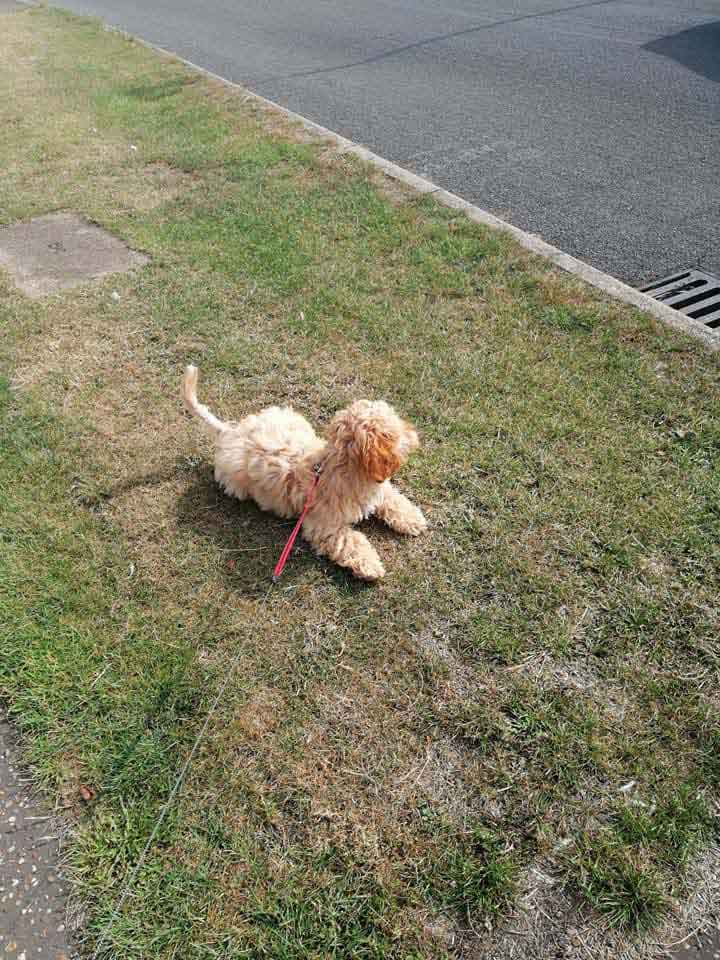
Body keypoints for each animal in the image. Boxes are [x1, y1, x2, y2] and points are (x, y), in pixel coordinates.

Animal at [183, 366, 424, 576]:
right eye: (397, 430)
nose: (414, 432)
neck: (341, 465)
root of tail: (229, 432)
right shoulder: (325, 525)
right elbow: (350, 541)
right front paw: (370, 566)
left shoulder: (379, 490)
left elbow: (394, 500)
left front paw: (413, 520)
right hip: (235, 482)